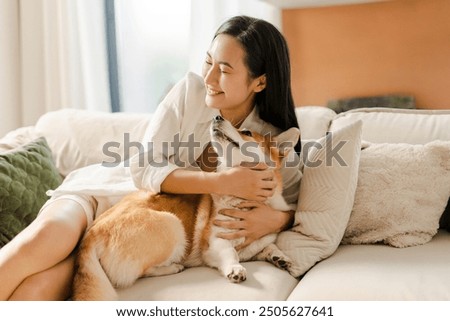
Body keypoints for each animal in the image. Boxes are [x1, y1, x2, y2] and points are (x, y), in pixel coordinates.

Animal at [73, 115, 298, 300]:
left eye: (247, 132)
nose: (217, 116)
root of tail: (91, 235)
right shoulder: (217, 243)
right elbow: (231, 254)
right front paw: (235, 269)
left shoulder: (258, 241)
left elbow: (268, 246)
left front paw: (280, 258)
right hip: (172, 224)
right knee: (139, 273)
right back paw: (173, 267)